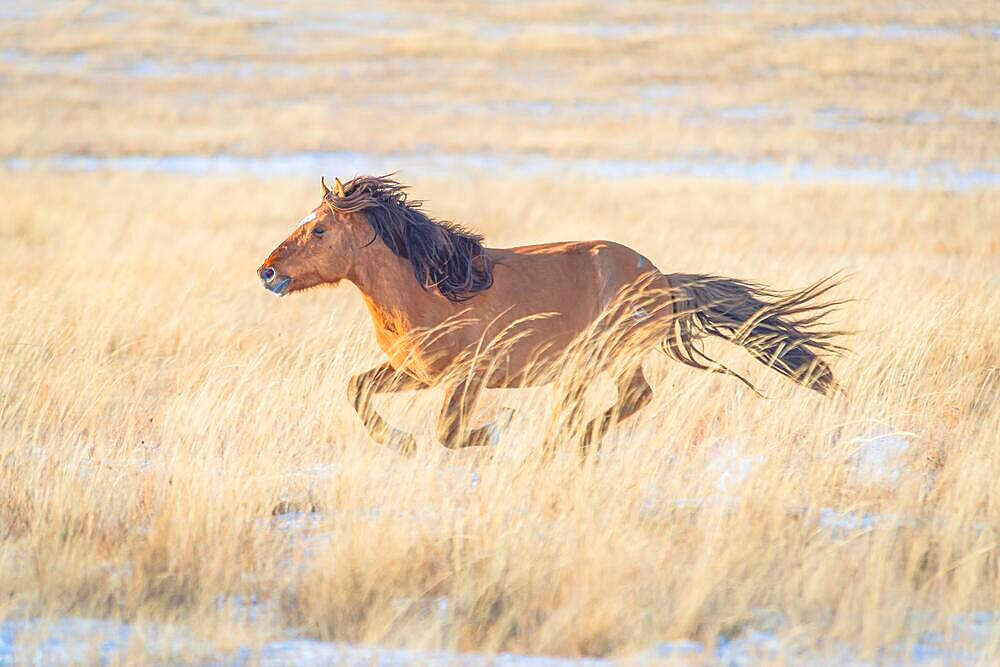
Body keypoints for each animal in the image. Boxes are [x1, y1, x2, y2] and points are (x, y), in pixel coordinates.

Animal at [258, 175, 844, 456]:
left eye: (318, 230)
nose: (267, 271)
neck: (430, 290)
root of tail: (662, 279)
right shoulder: (416, 373)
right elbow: (356, 389)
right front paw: (400, 444)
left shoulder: (467, 378)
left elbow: (451, 432)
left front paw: (500, 431)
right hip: (588, 367)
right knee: (627, 399)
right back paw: (567, 443)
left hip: (599, 361)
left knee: (631, 398)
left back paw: (567, 442)